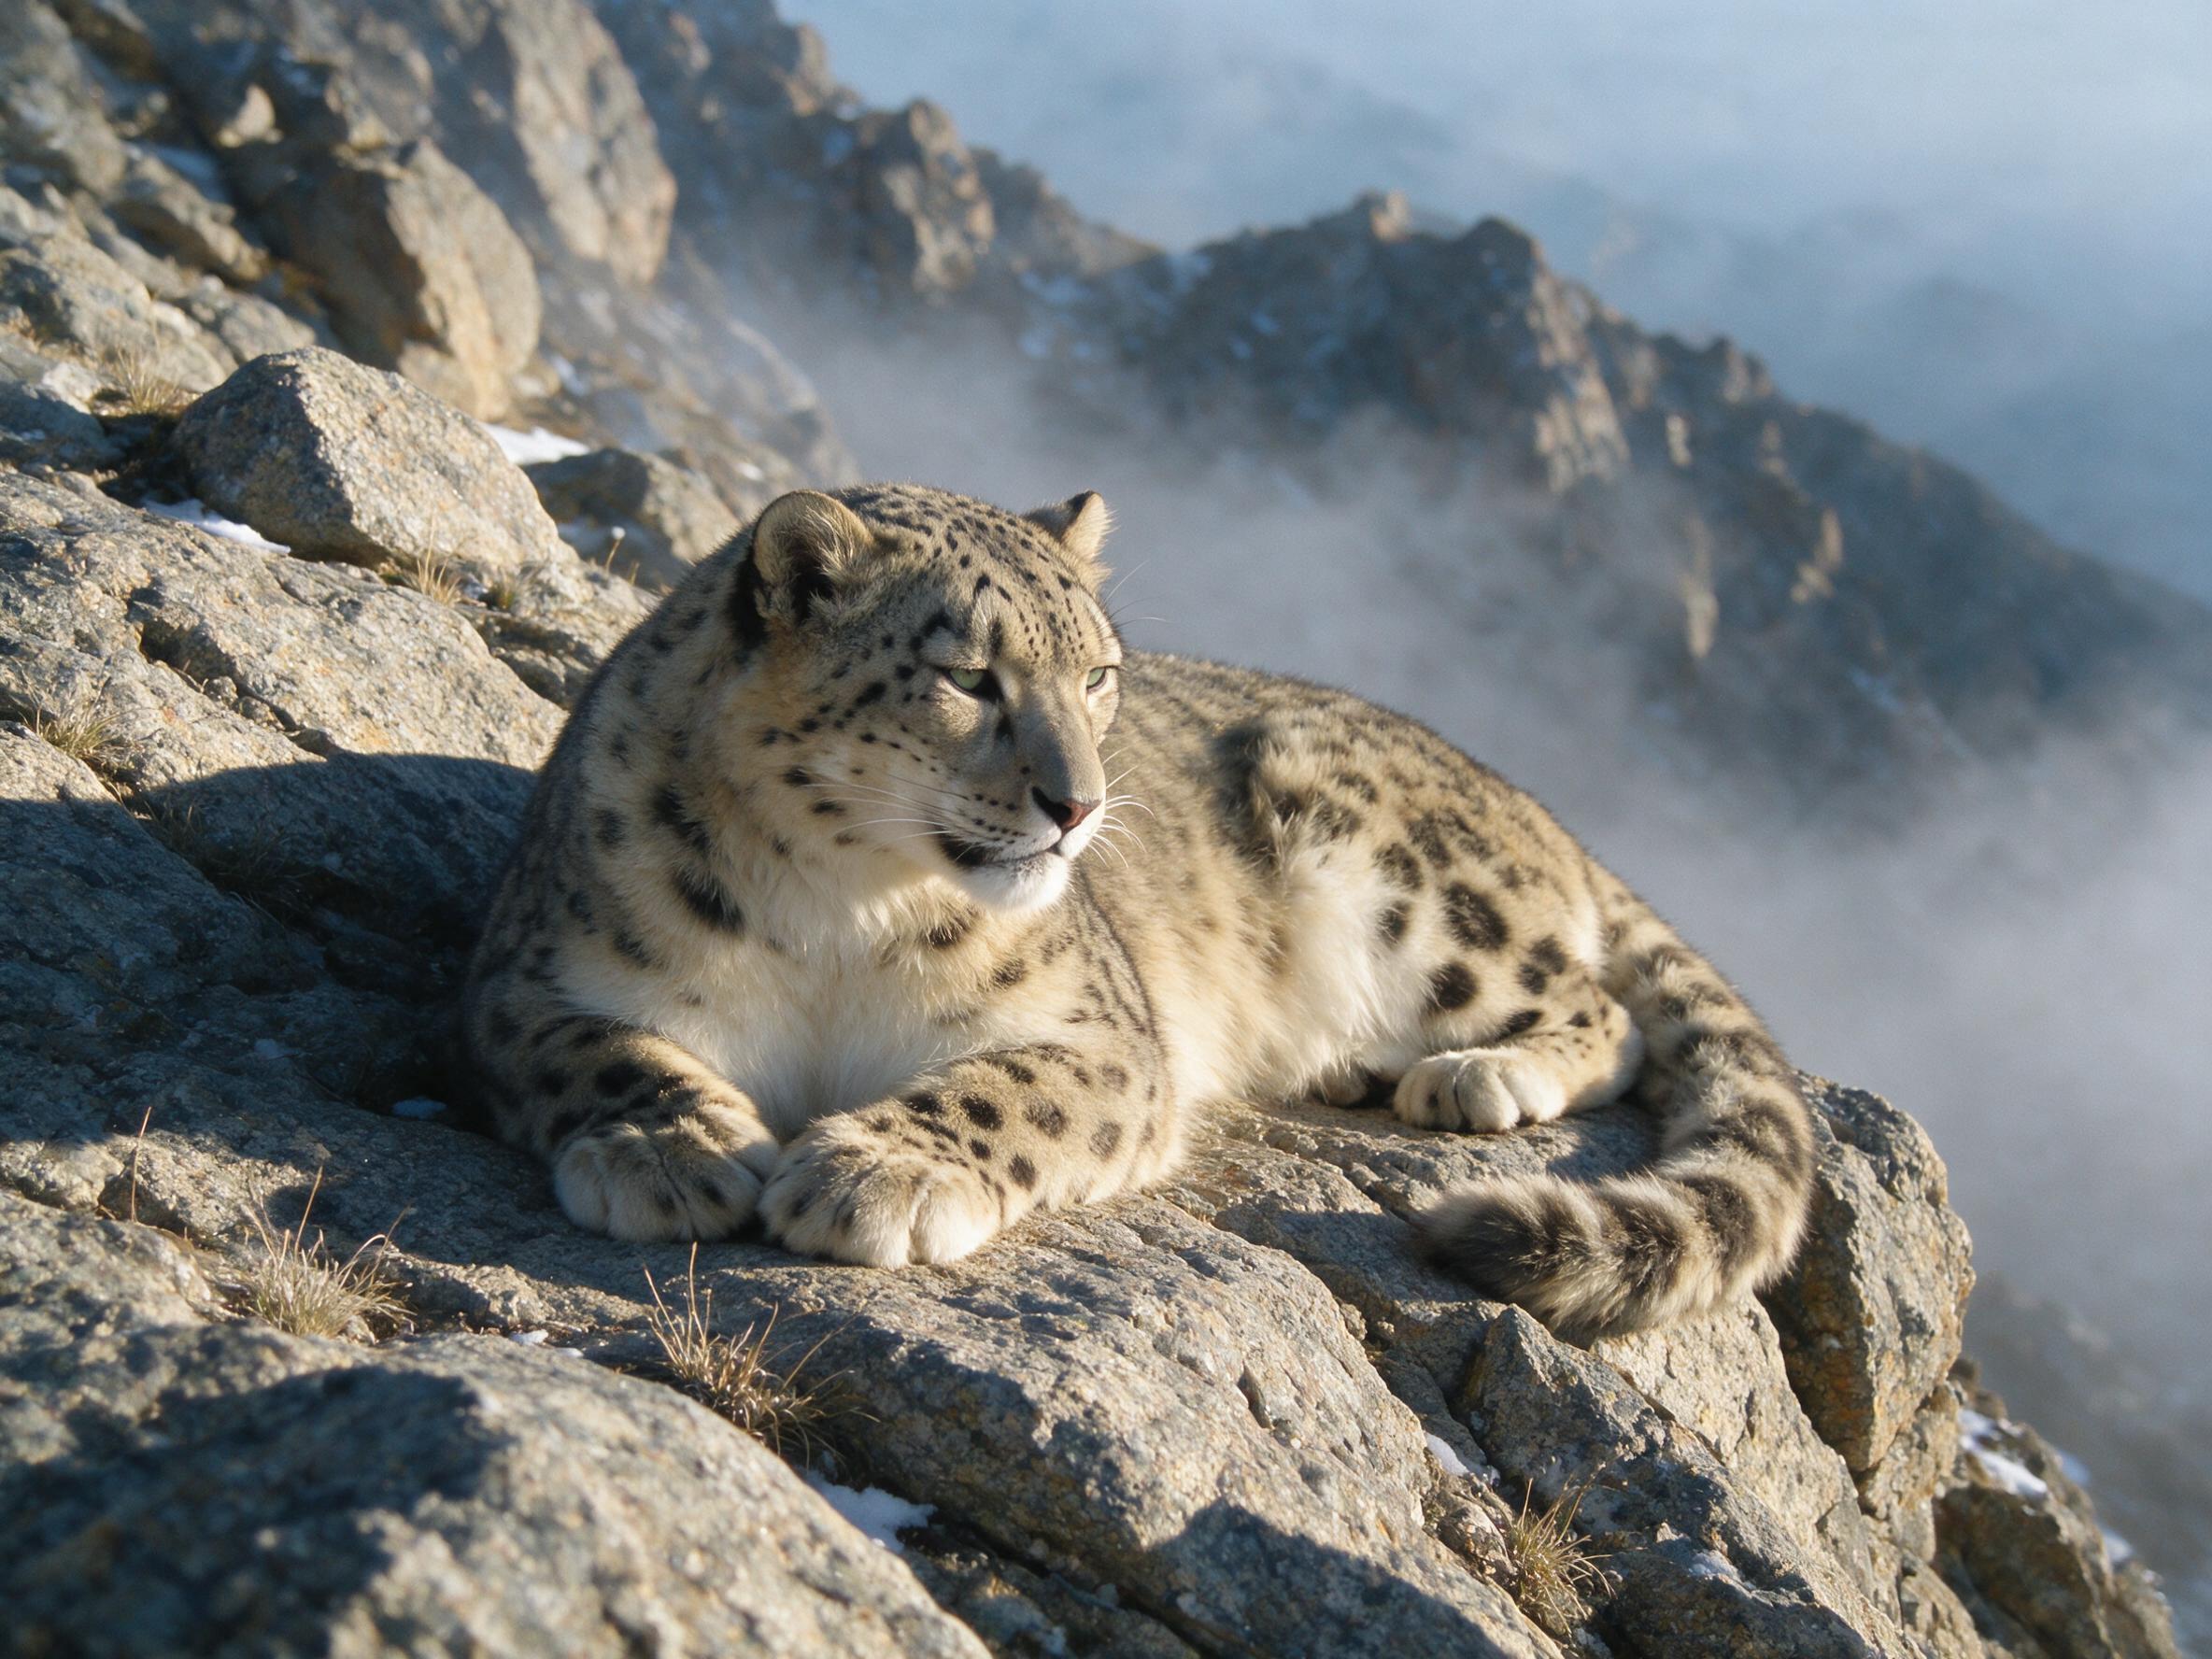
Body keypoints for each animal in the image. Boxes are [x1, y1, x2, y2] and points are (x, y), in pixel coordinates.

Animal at [462, 483, 1815, 1342]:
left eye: (1099, 672)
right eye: (968, 676)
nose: (1079, 806)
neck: (838, 910)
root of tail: (1529, 804)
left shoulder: (1108, 1034)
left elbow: (1003, 1090)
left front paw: (874, 1173)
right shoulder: (528, 980)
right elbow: (602, 1052)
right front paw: (670, 1150)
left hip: (1400, 876)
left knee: (1599, 1009)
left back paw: (1473, 1075)